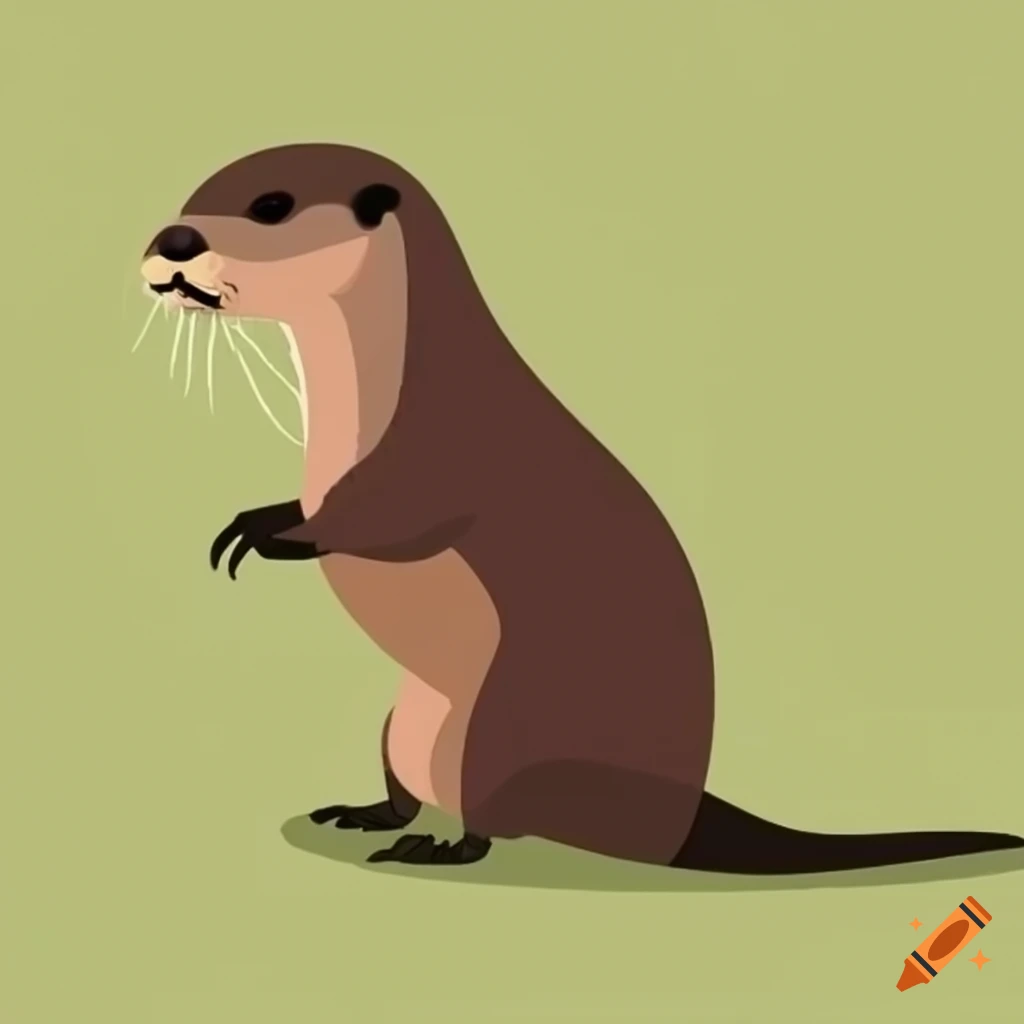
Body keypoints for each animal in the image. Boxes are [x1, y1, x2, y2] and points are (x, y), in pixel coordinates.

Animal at [138, 143, 1022, 871]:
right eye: (194, 193)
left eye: (271, 204)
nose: (172, 242)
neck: (372, 396)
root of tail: (673, 823)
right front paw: (260, 517)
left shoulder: (445, 451)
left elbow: (388, 518)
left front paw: (277, 538)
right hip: (404, 721)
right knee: (405, 787)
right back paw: (367, 815)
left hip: (500, 725)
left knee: (488, 820)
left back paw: (437, 845)